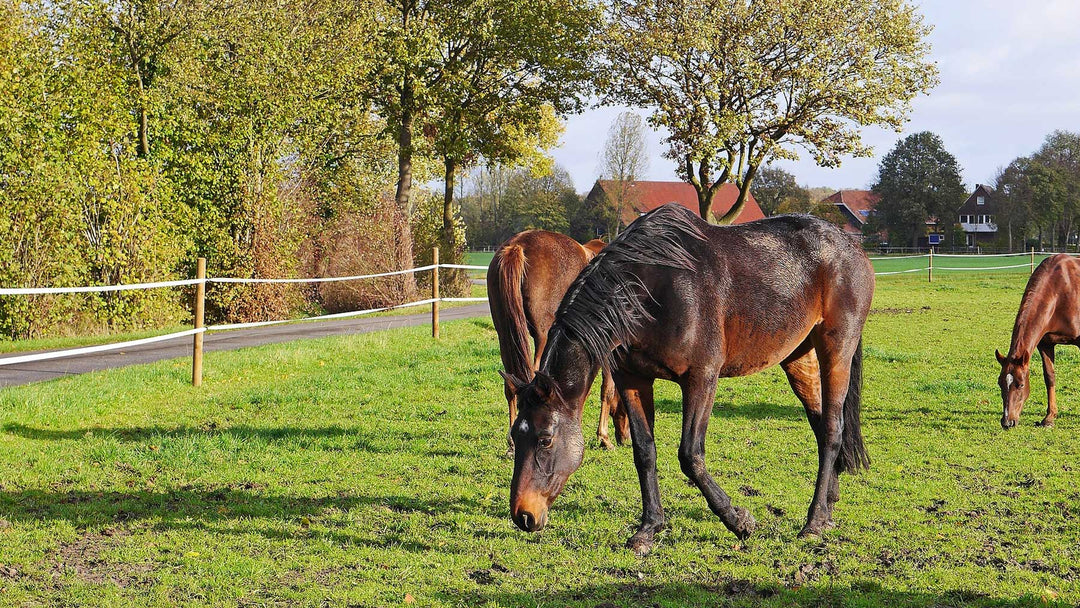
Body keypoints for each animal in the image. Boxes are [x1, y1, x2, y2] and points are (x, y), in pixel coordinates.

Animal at [488, 231, 630, 453]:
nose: (626, 438)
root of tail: (518, 245)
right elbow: (606, 389)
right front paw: (603, 437)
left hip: (505, 334)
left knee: (510, 384)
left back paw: (512, 443)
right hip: (543, 337)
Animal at [505, 204, 876, 557]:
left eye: (545, 440)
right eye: (516, 436)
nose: (523, 515)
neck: (652, 288)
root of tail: (851, 246)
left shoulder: (701, 379)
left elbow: (690, 455)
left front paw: (739, 520)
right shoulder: (632, 380)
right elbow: (644, 452)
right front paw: (648, 529)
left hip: (836, 351)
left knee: (832, 429)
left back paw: (813, 522)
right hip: (799, 358)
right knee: (821, 425)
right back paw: (828, 508)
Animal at [993, 254, 1080, 429]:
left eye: (1020, 384)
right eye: (1000, 383)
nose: (1007, 422)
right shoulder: (1045, 344)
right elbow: (1049, 377)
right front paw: (1049, 418)